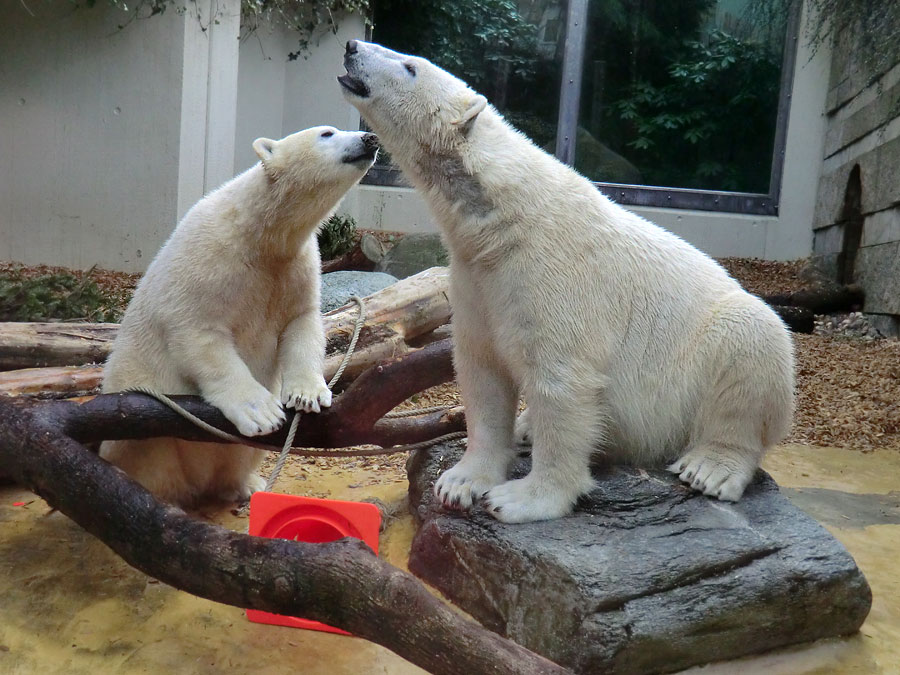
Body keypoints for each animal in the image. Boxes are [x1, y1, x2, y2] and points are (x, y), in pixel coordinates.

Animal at [101, 127, 376, 508]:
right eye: (327, 133)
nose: (370, 138)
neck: (259, 233)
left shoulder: (295, 265)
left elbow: (302, 321)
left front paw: (307, 394)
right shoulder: (211, 256)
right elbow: (199, 332)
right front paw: (261, 411)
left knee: (242, 456)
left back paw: (245, 484)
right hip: (136, 436)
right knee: (150, 457)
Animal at [340, 42, 796, 524]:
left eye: (409, 66)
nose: (352, 47)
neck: (500, 219)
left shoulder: (556, 276)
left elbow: (561, 380)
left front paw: (521, 499)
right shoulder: (476, 278)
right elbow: (483, 371)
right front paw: (460, 482)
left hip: (709, 357)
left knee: (751, 346)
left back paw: (710, 467)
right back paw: (525, 428)